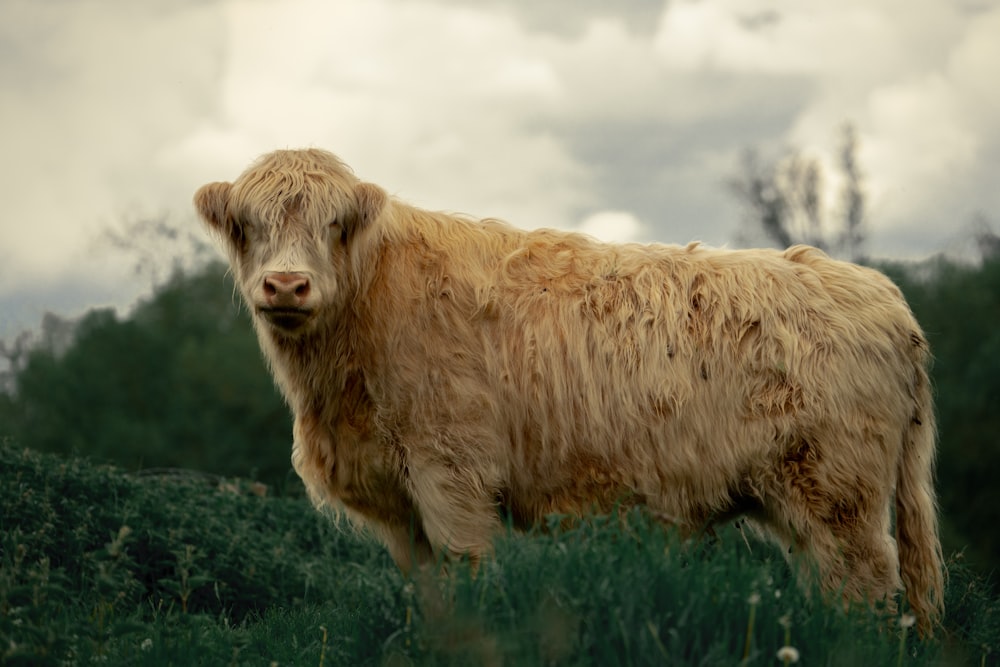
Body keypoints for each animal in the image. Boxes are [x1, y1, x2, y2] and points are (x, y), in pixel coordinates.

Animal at [195, 149, 944, 636]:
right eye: (248, 226)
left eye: (333, 225)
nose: (286, 284)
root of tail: (886, 298)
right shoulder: (401, 504)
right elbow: (431, 597)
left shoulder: (452, 474)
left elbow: (469, 580)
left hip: (838, 495)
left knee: (870, 592)